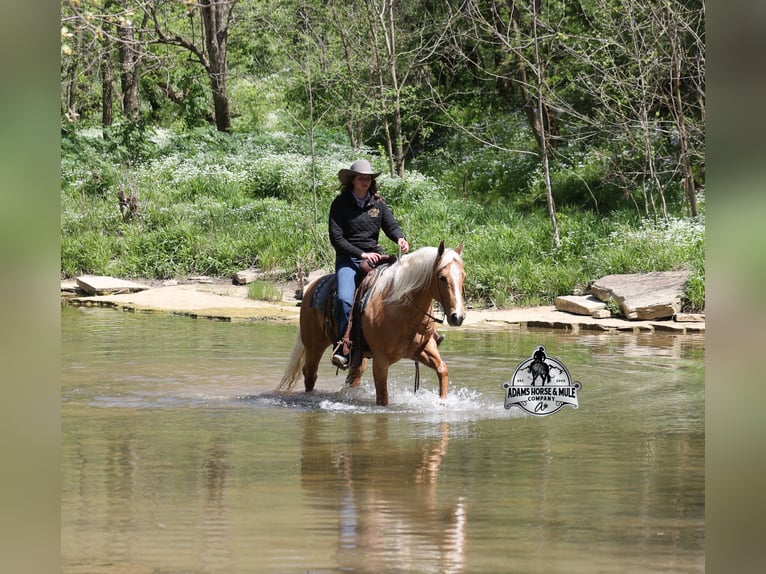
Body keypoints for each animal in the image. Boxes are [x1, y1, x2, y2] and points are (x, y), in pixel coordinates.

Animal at [278, 240, 466, 406]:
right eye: (442, 277)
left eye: (463, 276)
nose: (458, 316)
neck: (400, 307)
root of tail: (312, 287)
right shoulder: (381, 361)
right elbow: (382, 398)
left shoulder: (423, 349)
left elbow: (442, 370)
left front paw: (443, 402)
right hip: (314, 346)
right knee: (310, 374)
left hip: (357, 357)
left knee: (353, 378)